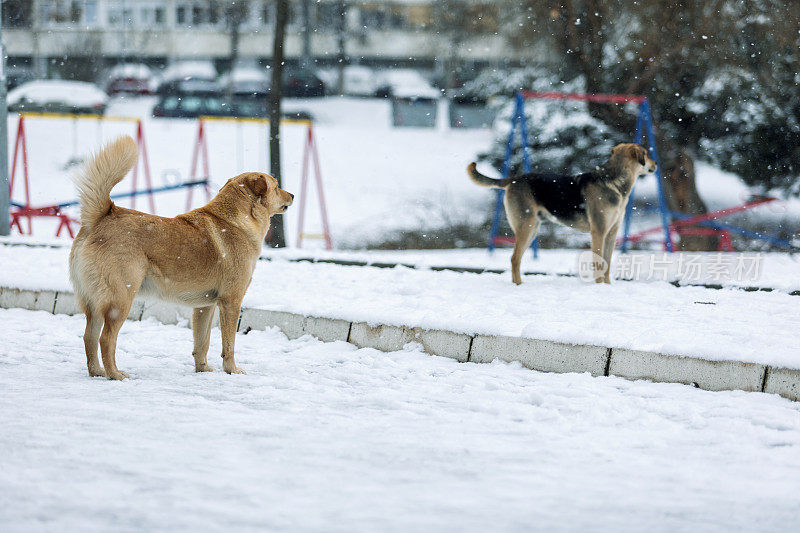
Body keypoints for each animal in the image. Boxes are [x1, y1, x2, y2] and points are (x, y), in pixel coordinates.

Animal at [68, 137, 294, 378]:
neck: (234, 221)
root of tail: (103, 215)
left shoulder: (205, 306)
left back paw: (97, 372)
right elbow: (229, 344)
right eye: (276, 186)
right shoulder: (231, 301)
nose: (292, 195)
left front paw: (202, 369)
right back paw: (115, 374)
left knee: (89, 337)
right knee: (106, 339)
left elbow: (202, 342)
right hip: (120, 300)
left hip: (93, 304)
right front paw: (232, 370)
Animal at [468, 141, 656, 282]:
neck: (614, 181)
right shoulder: (598, 232)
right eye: (646, 153)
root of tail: (514, 179)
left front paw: (607, 286)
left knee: (517, 258)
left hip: (532, 230)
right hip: (526, 226)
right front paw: (599, 286)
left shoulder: (611, 233)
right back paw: (519, 285)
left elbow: (607, 264)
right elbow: (598, 264)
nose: (655, 164)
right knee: (514, 258)